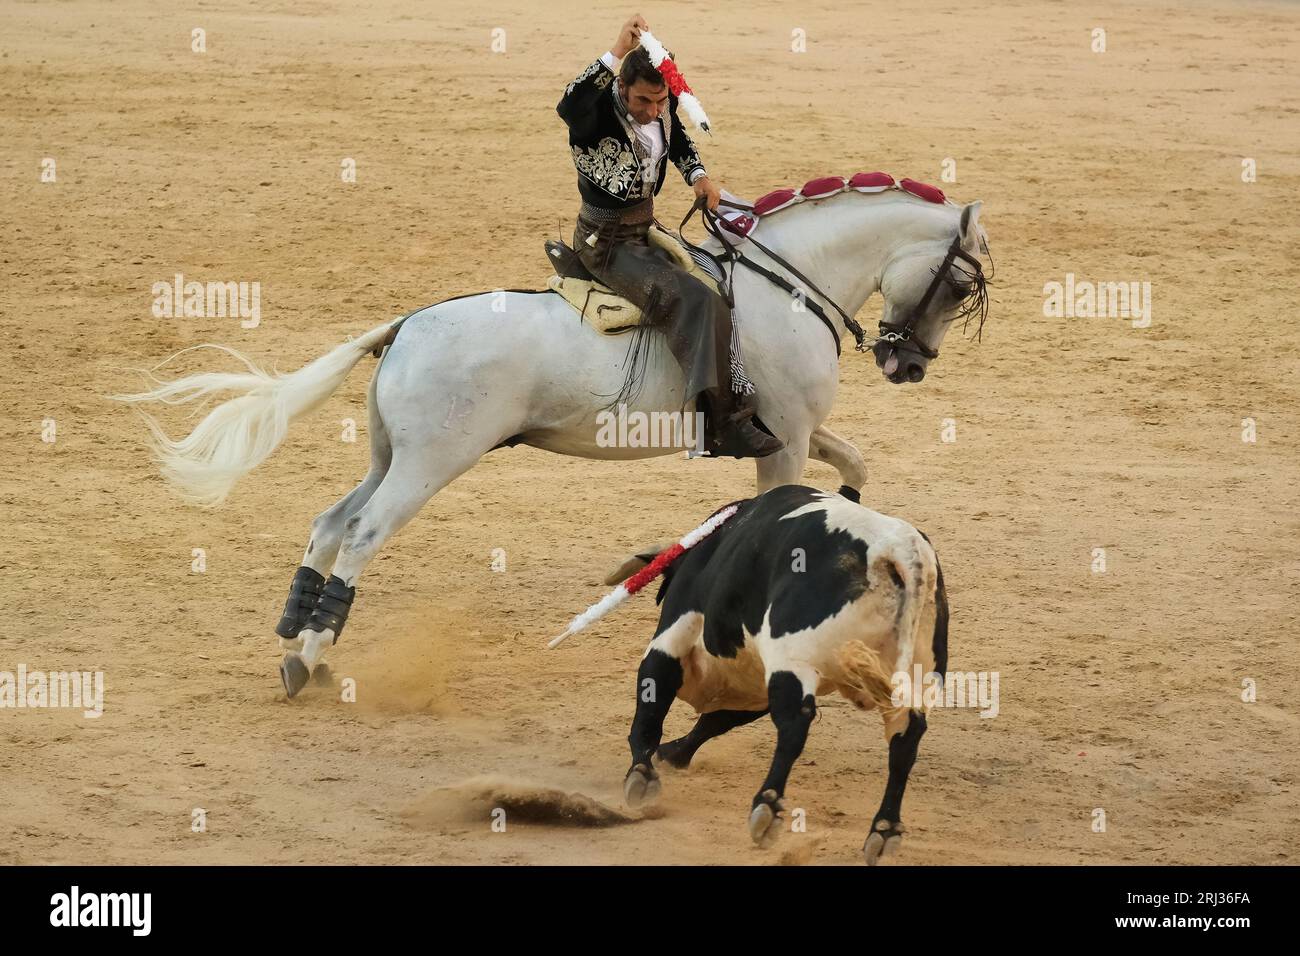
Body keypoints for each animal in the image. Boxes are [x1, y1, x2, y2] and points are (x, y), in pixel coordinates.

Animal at [116, 187, 987, 697]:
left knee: (331, 520)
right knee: (362, 532)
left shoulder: (794, 431)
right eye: (959, 284)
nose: (907, 363)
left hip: (389, 455)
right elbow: (780, 512)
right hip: (432, 463)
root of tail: (408, 324)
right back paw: (311, 655)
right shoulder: (784, 438)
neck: (789, 285)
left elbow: (853, 465)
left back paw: (299, 638)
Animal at [613, 486, 951, 868]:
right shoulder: (754, 687)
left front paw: (642, 774)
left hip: (792, 660)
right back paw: (884, 829)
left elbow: (650, 707)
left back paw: (767, 805)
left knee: (794, 725)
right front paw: (673, 754)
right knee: (905, 740)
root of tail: (899, 548)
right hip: (917, 677)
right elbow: (714, 721)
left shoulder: (673, 637)